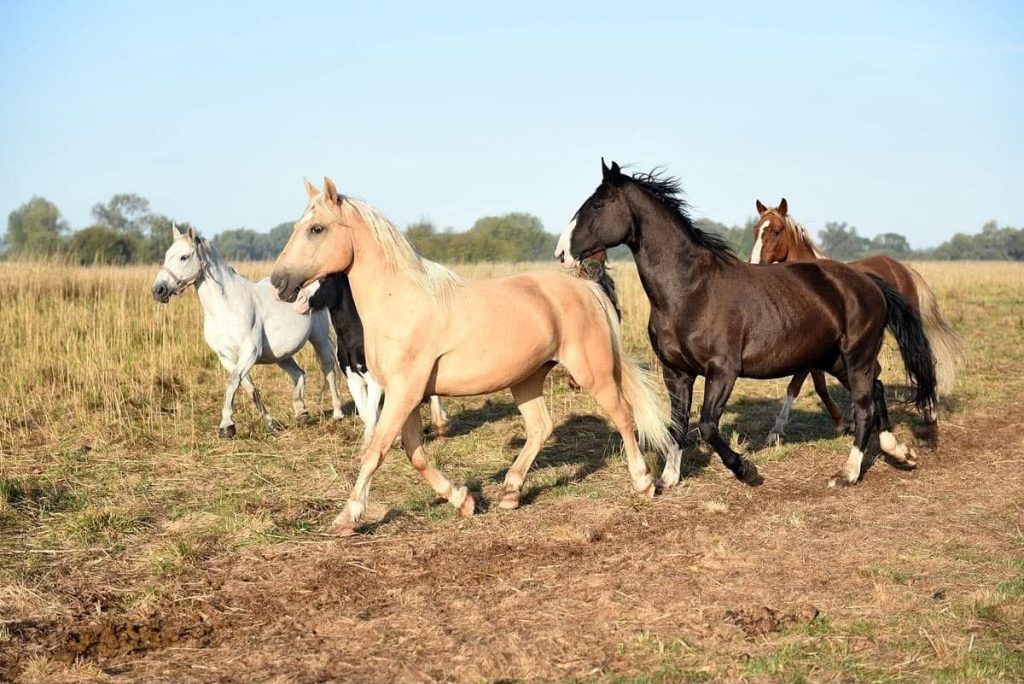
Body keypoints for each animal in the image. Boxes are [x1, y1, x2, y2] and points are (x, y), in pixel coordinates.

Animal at [151, 223, 345, 438]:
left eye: (184, 257)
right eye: (167, 255)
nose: (158, 290)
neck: (225, 307)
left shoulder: (249, 352)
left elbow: (232, 383)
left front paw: (226, 427)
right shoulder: (226, 357)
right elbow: (249, 388)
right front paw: (270, 424)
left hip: (319, 339)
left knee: (329, 371)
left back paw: (337, 414)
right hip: (281, 354)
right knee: (299, 374)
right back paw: (301, 413)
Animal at [270, 178, 671, 536]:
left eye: (317, 228)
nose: (279, 283)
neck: (400, 301)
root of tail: (586, 288)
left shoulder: (403, 393)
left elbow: (377, 450)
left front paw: (346, 519)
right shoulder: (407, 395)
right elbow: (415, 452)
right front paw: (463, 500)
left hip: (593, 373)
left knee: (622, 414)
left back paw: (643, 482)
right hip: (526, 379)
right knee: (540, 427)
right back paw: (510, 492)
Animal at [556, 160, 937, 489]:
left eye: (598, 204)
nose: (561, 253)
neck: (691, 290)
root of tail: (868, 281)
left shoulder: (723, 370)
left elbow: (708, 426)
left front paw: (747, 470)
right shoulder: (676, 372)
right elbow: (677, 425)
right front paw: (668, 479)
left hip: (855, 356)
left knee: (863, 406)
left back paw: (848, 474)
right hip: (836, 359)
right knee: (876, 389)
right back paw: (899, 453)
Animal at [750, 198, 966, 444]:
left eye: (776, 231)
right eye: (755, 231)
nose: (754, 264)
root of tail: (902, 268)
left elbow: (795, 385)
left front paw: (776, 431)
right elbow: (818, 385)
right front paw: (841, 422)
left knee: (921, 360)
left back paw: (930, 413)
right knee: (874, 369)